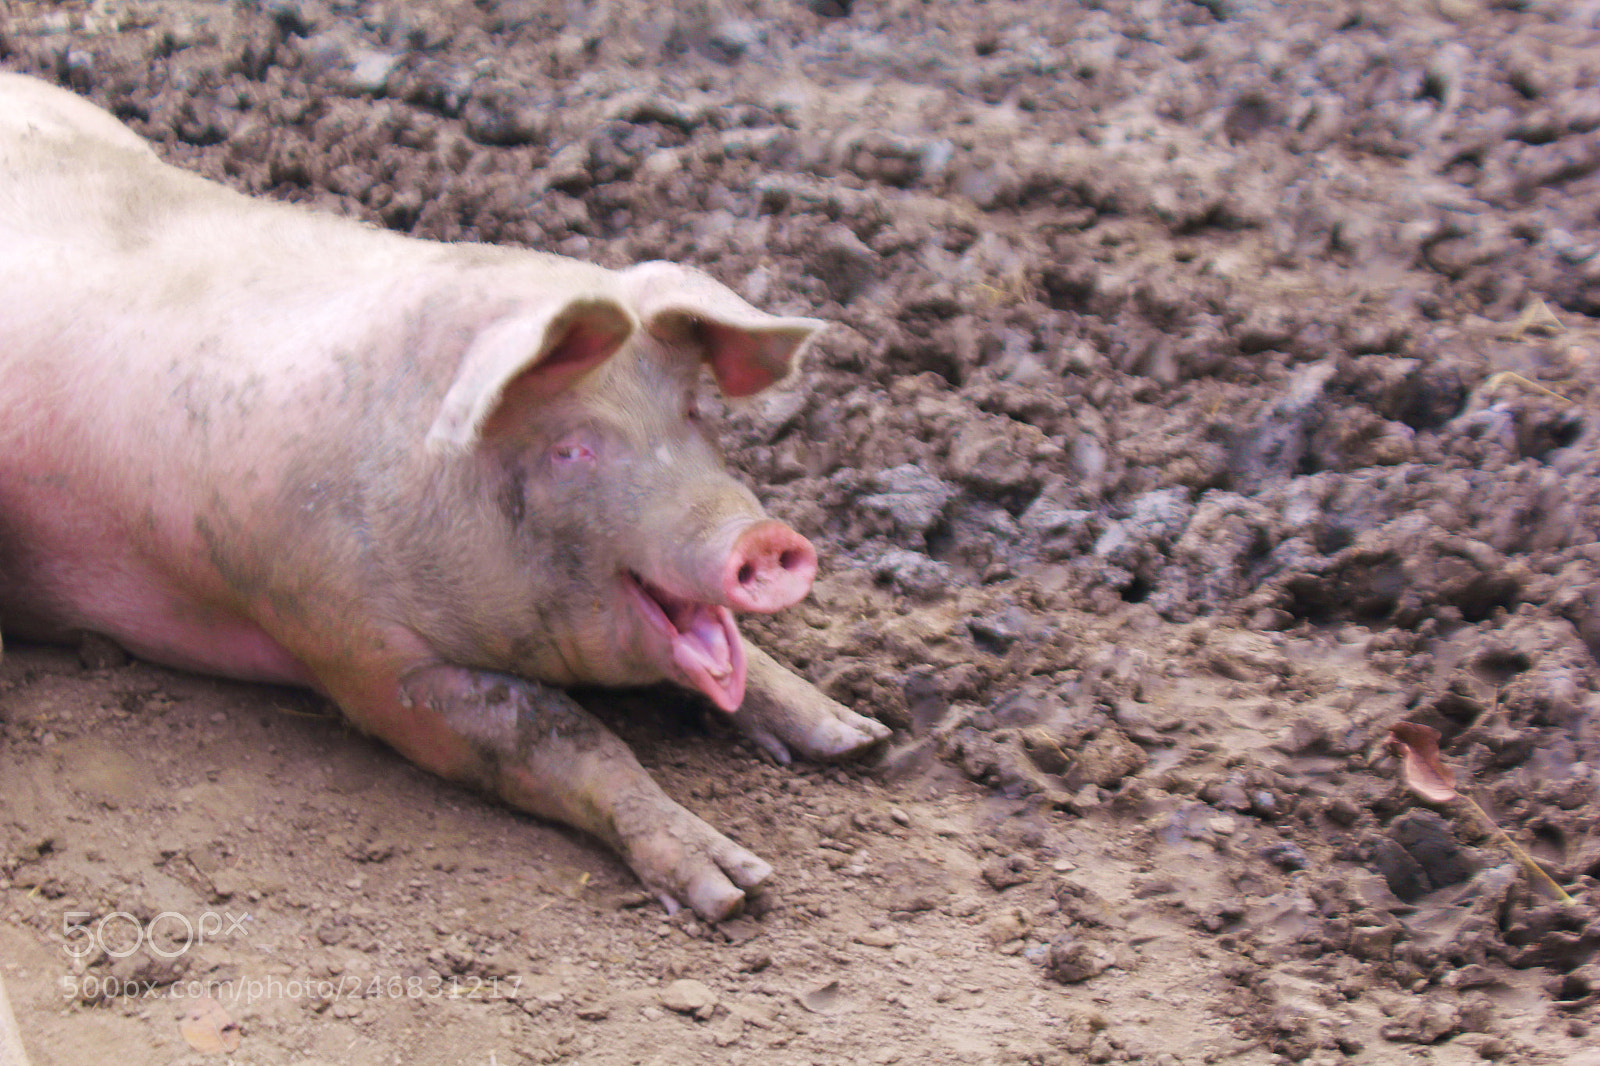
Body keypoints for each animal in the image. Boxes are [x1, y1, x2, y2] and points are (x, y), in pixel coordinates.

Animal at [0, 73, 888, 920]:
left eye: (695, 412)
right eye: (572, 448)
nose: (764, 540)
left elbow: (738, 658)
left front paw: (861, 740)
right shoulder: (355, 650)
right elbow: (556, 731)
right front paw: (739, 888)